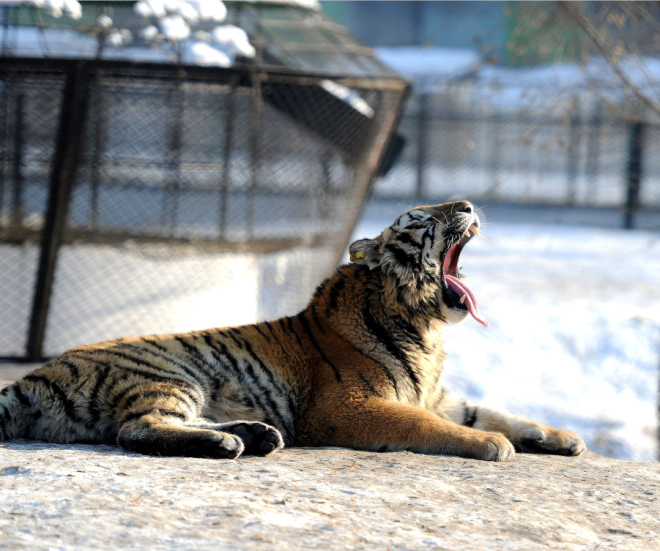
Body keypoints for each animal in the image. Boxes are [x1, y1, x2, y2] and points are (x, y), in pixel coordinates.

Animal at [0, 201, 588, 460]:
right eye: (422, 220)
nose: (467, 204)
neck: (426, 329)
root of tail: (33, 379)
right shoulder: (349, 406)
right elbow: (431, 426)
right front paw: (492, 445)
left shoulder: (439, 396)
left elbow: (498, 412)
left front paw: (561, 437)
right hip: (169, 373)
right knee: (136, 429)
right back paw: (229, 444)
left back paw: (255, 435)